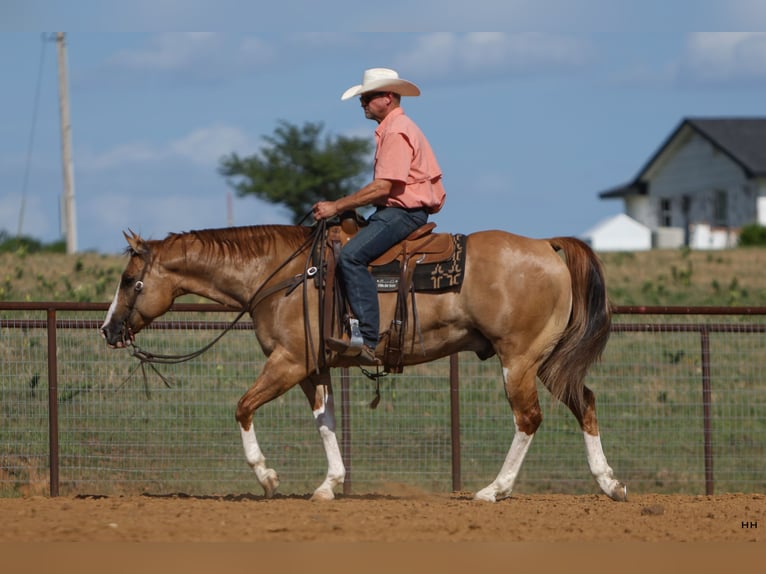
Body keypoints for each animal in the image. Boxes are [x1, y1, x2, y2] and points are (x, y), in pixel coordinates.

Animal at [100, 225, 632, 504]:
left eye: (129, 281)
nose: (108, 330)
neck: (285, 276)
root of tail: (547, 245)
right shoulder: (313, 369)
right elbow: (326, 422)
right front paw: (330, 484)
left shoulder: (288, 362)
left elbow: (242, 407)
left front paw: (267, 477)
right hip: (546, 361)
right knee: (585, 402)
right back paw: (610, 484)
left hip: (518, 360)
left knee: (529, 418)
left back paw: (493, 490)